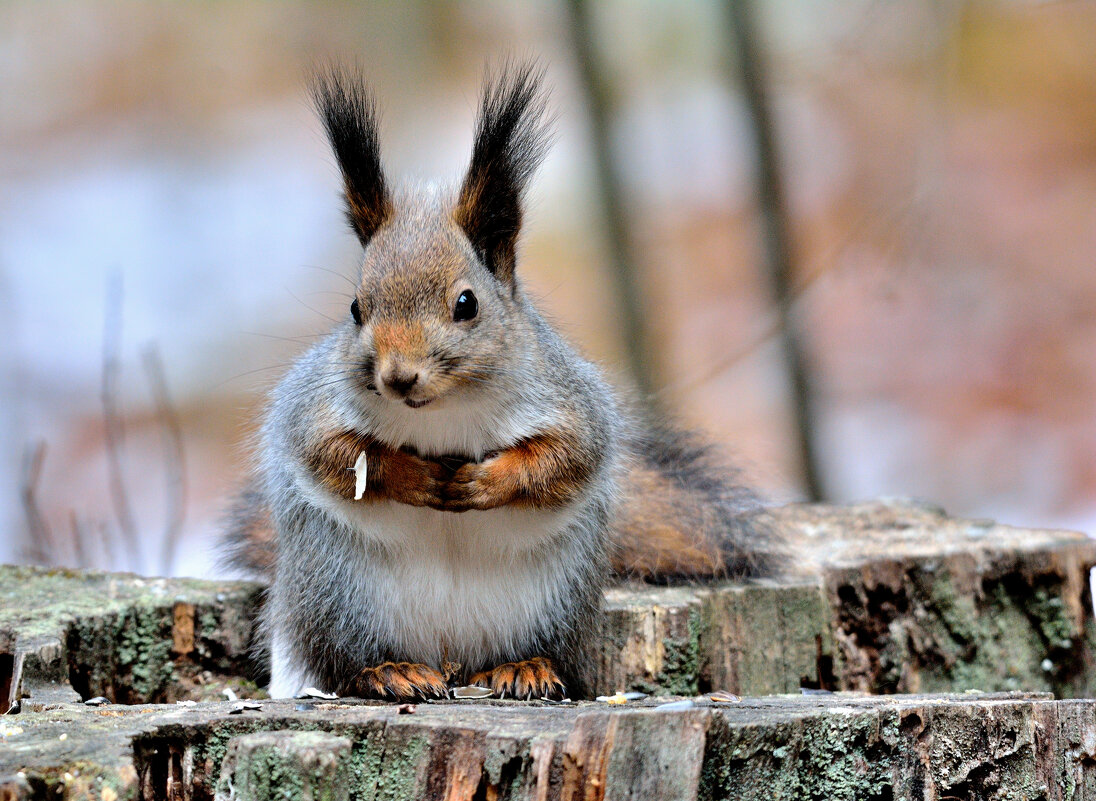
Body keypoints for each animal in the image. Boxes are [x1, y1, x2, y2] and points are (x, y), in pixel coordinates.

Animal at [222, 64, 784, 701]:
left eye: (466, 304)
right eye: (356, 309)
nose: (397, 377)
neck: (441, 410)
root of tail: (452, 655)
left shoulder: (569, 399)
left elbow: (566, 459)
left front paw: (486, 482)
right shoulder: (313, 404)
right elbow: (331, 454)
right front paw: (411, 474)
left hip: (551, 600)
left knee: (529, 649)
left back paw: (523, 667)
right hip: (338, 593)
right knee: (342, 662)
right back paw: (390, 671)